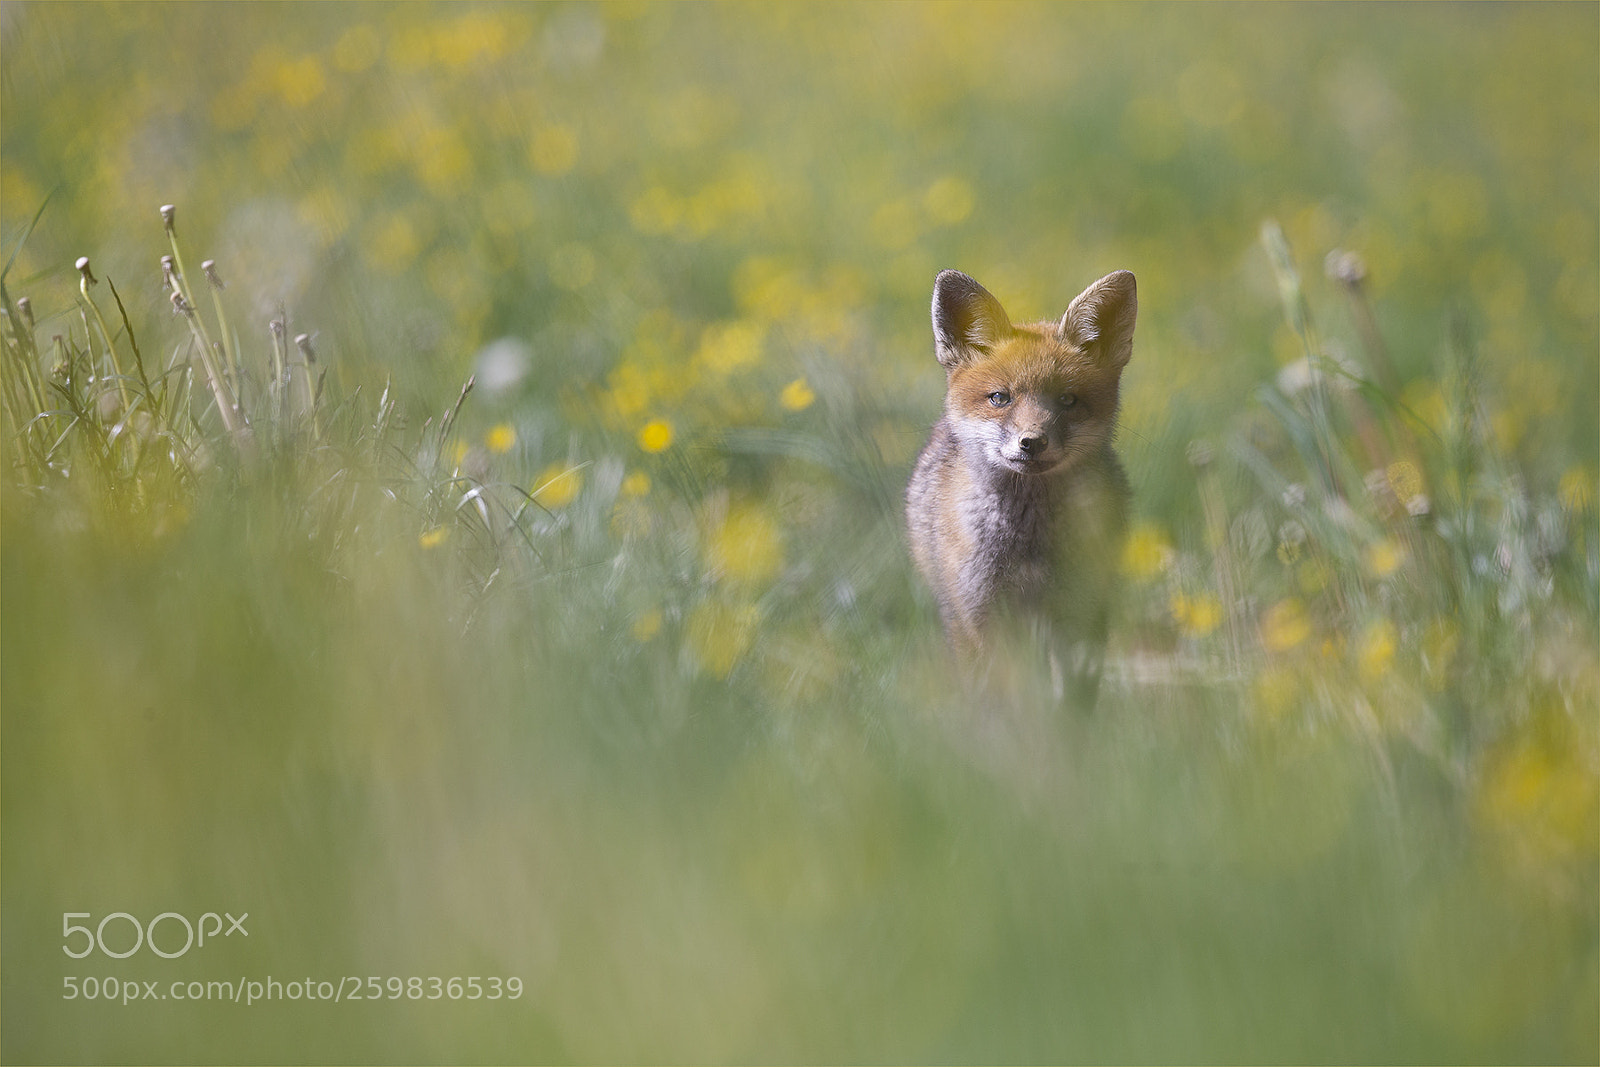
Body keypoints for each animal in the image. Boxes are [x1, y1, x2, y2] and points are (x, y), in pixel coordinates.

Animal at [906, 268, 1136, 704]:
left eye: (1067, 400)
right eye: (1000, 398)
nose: (1032, 442)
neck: (1028, 542)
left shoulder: (1080, 612)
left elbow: (1074, 697)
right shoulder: (982, 613)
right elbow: (1005, 696)